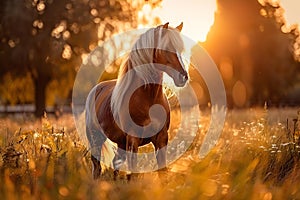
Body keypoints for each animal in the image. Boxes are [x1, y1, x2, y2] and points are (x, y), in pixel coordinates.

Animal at [84, 22, 188, 180]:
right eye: (166, 48)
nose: (183, 77)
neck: (149, 100)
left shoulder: (162, 139)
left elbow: (162, 171)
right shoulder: (133, 140)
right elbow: (133, 173)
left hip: (121, 143)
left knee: (116, 163)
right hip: (96, 138)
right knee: (97, 167)